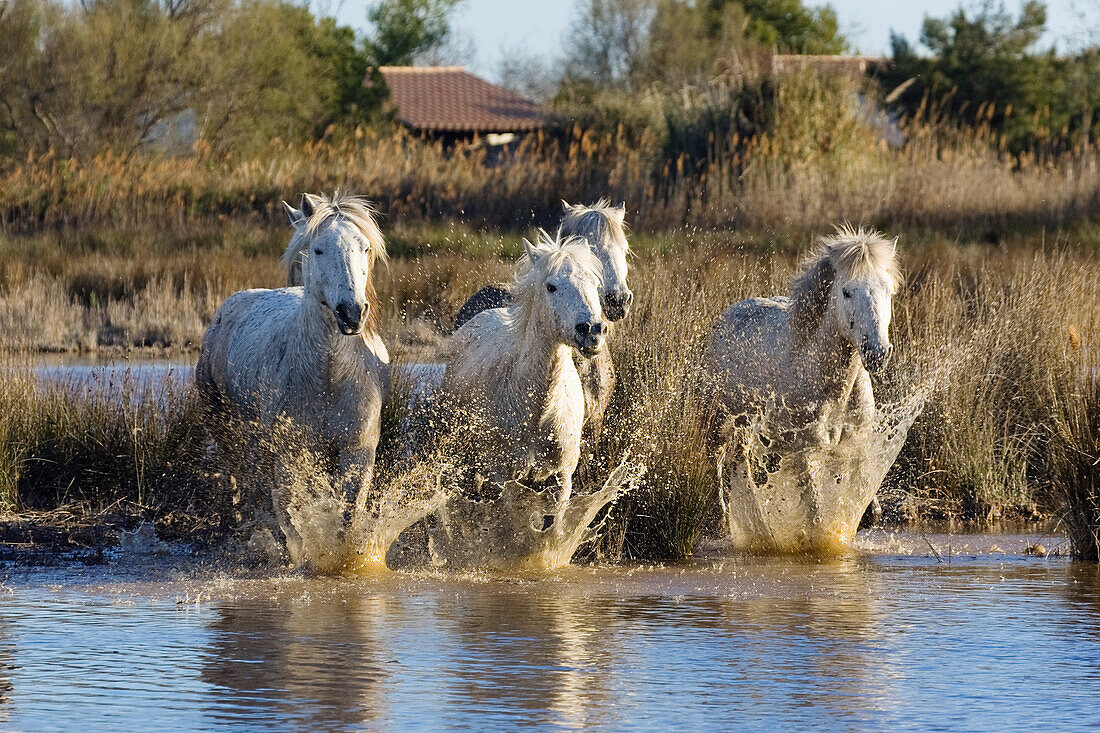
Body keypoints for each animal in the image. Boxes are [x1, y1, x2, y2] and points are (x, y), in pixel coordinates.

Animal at [195, 192, 389, 541]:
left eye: (365, 248)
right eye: (318, 249)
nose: (351, 313)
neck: (329, 374)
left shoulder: (358, 451)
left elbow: (347, 517)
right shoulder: (290, 454)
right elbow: (292, 518)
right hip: (222, 421)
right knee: (237, 476)